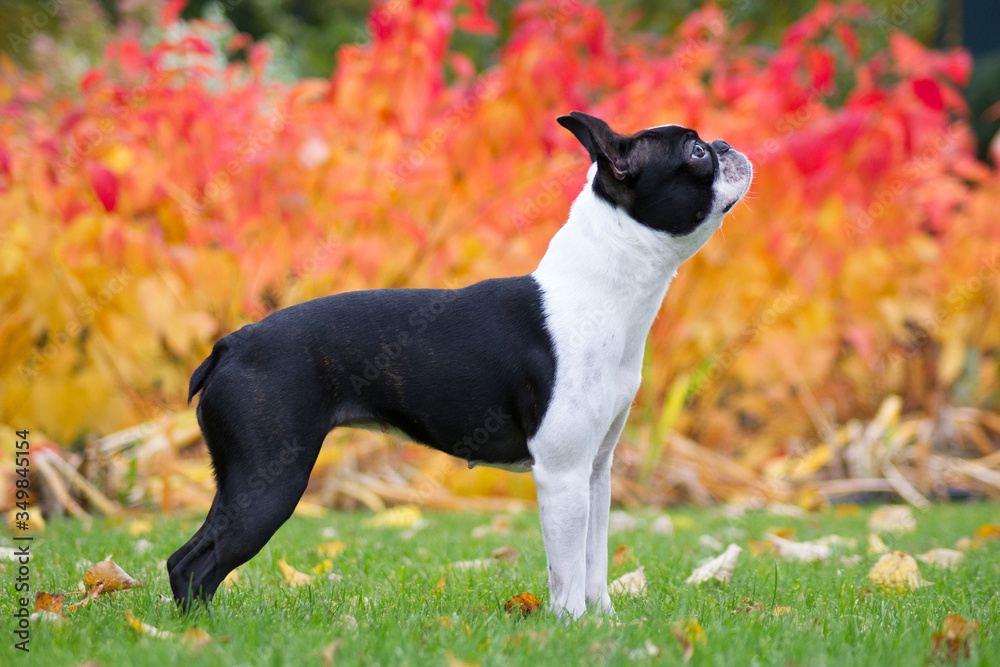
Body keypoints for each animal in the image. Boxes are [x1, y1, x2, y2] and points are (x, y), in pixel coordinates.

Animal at [168, 112, 752, 620]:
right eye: (696, 152)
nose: (727, 145)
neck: (601, 289)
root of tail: (232, 344)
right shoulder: (562, 474)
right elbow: (565, 568)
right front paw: (571, 626)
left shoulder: (595, 472)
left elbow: (594, 559)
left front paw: (604, 620)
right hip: (270, 479)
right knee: (196, 563)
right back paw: (203, 632)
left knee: (186, 557)